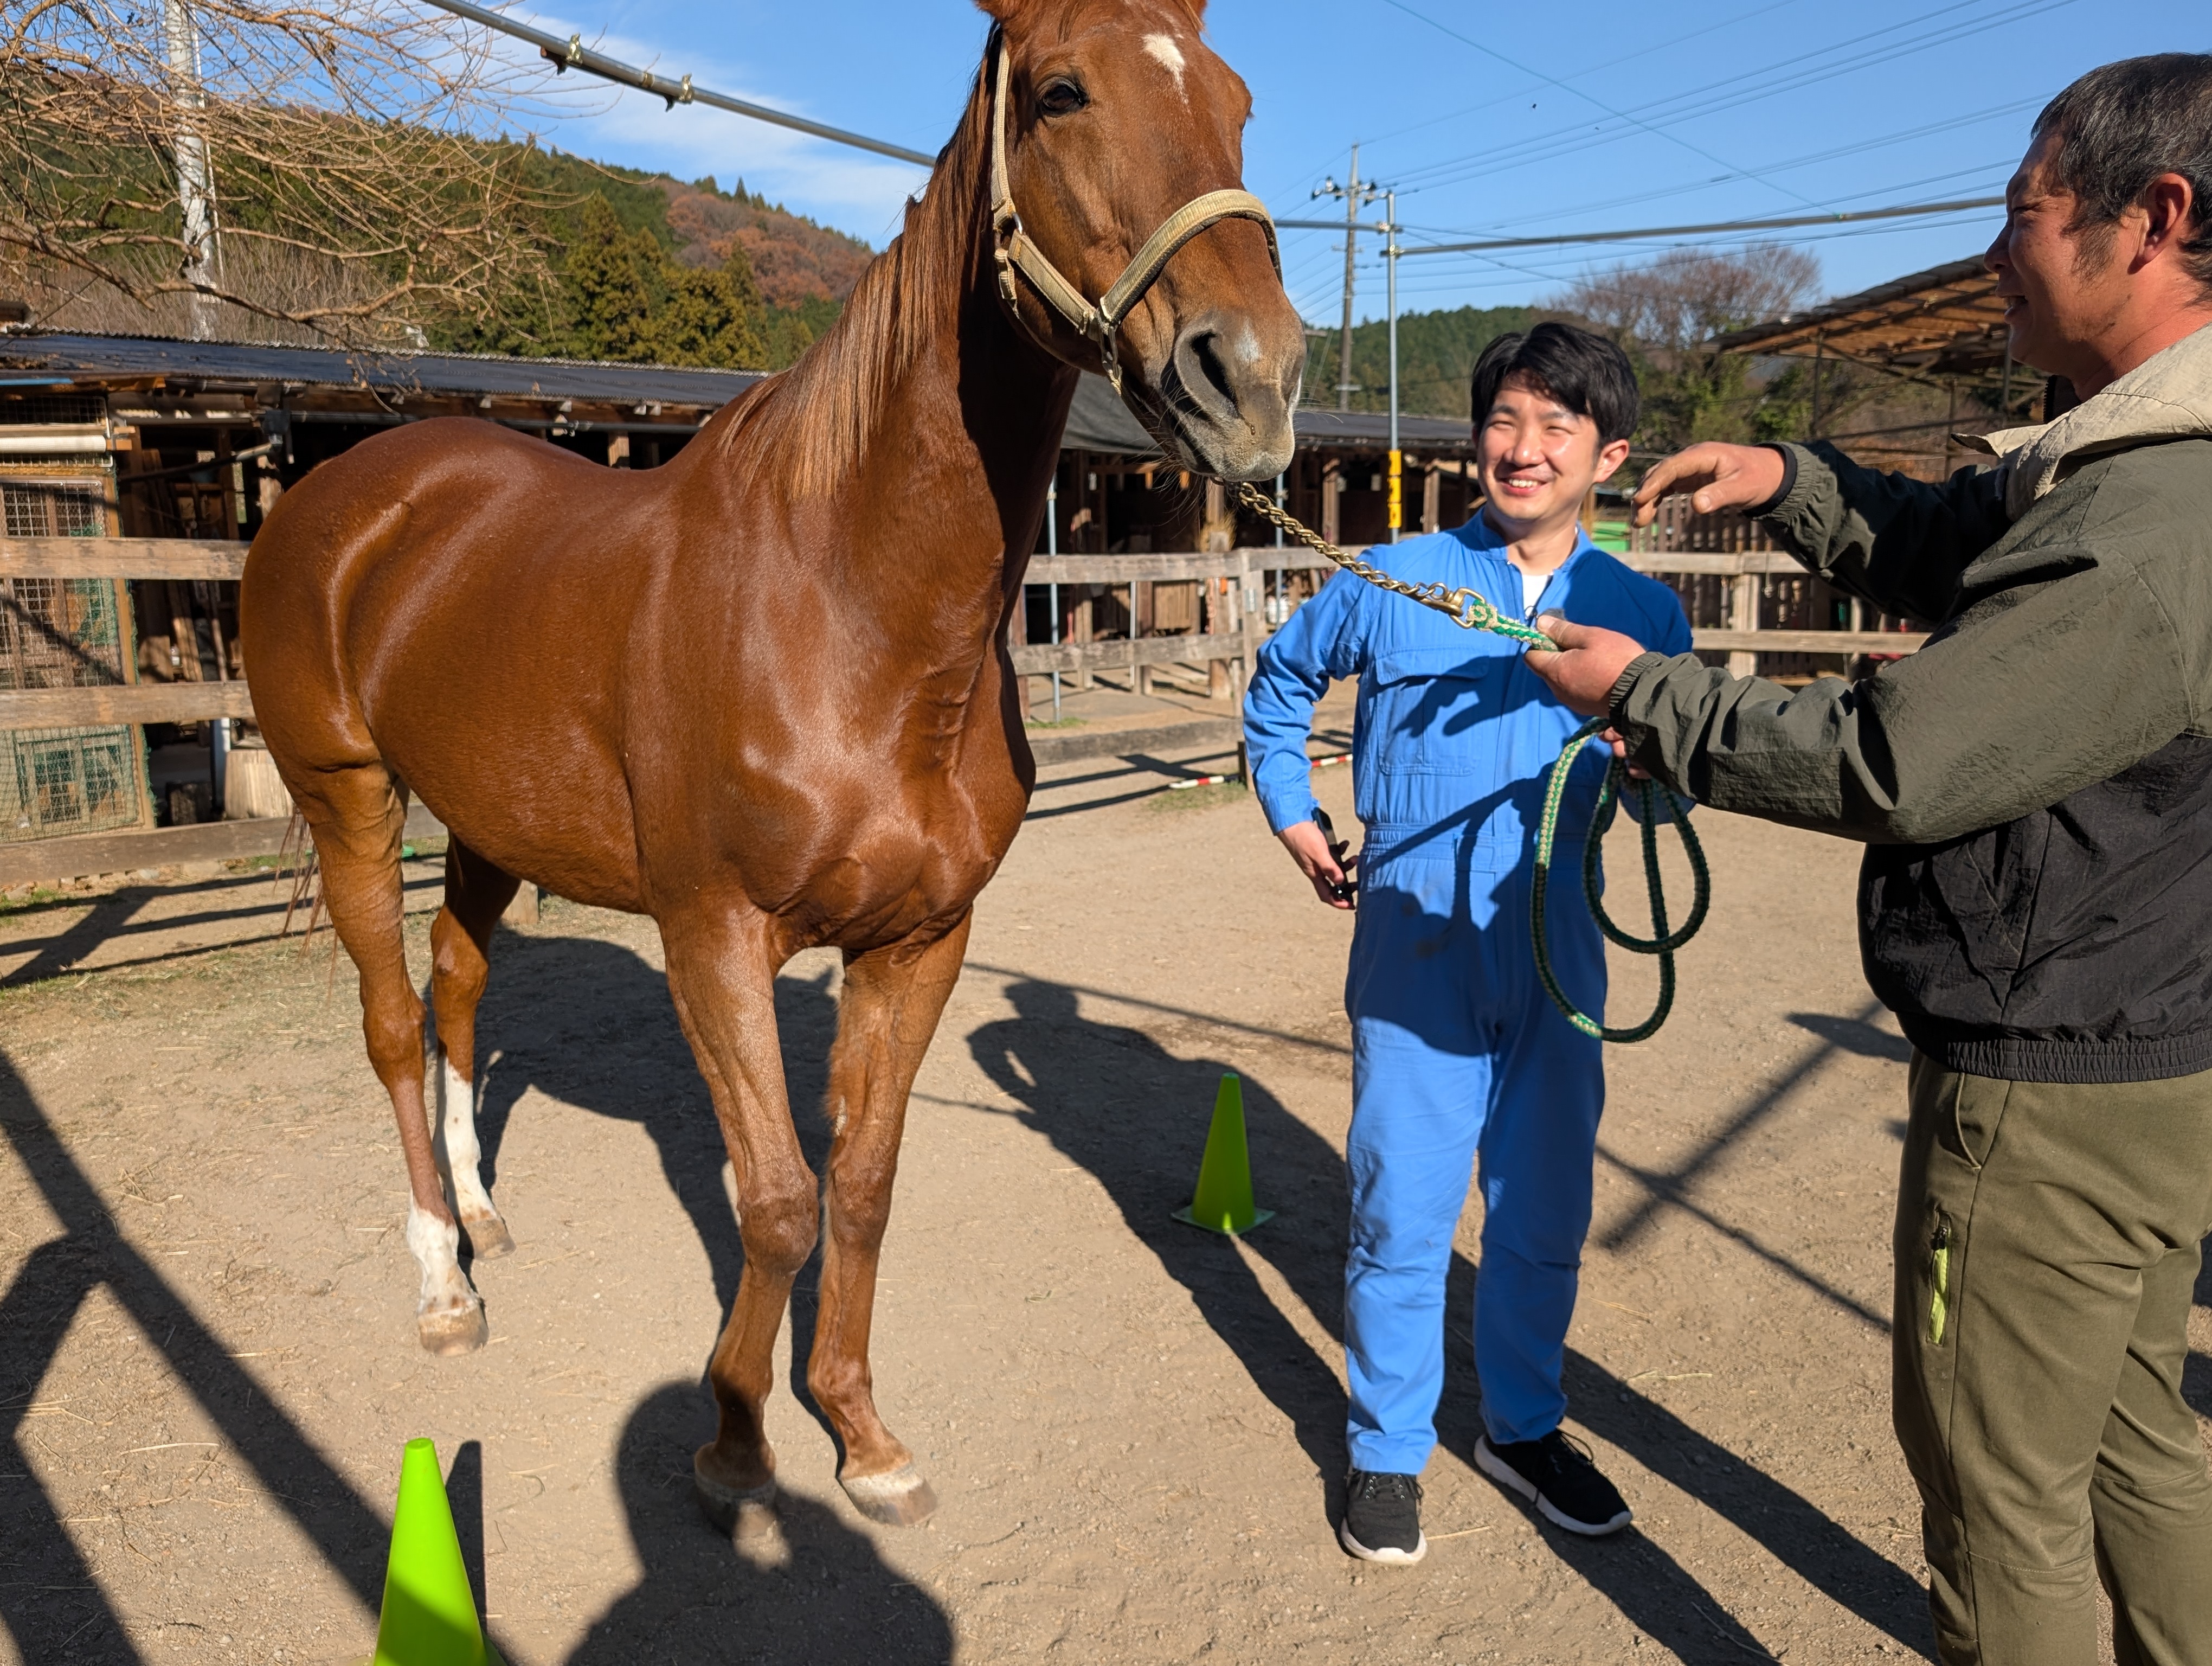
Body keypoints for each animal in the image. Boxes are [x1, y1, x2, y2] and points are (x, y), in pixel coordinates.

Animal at [238, 0, 1301, 1532]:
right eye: (1058, 92)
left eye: (1236, 101)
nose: (1255, 378)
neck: (849, 609)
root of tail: (345, 488)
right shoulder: (716, 937)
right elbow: (779, 1197)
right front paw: (736, 1441)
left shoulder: (920, 940)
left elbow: (861, 1183)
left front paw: (859, 1432)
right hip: (349, 799)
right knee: (389, 1022)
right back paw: (443, 1281)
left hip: (492, 827)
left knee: (457, 986)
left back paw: (486, 1210)